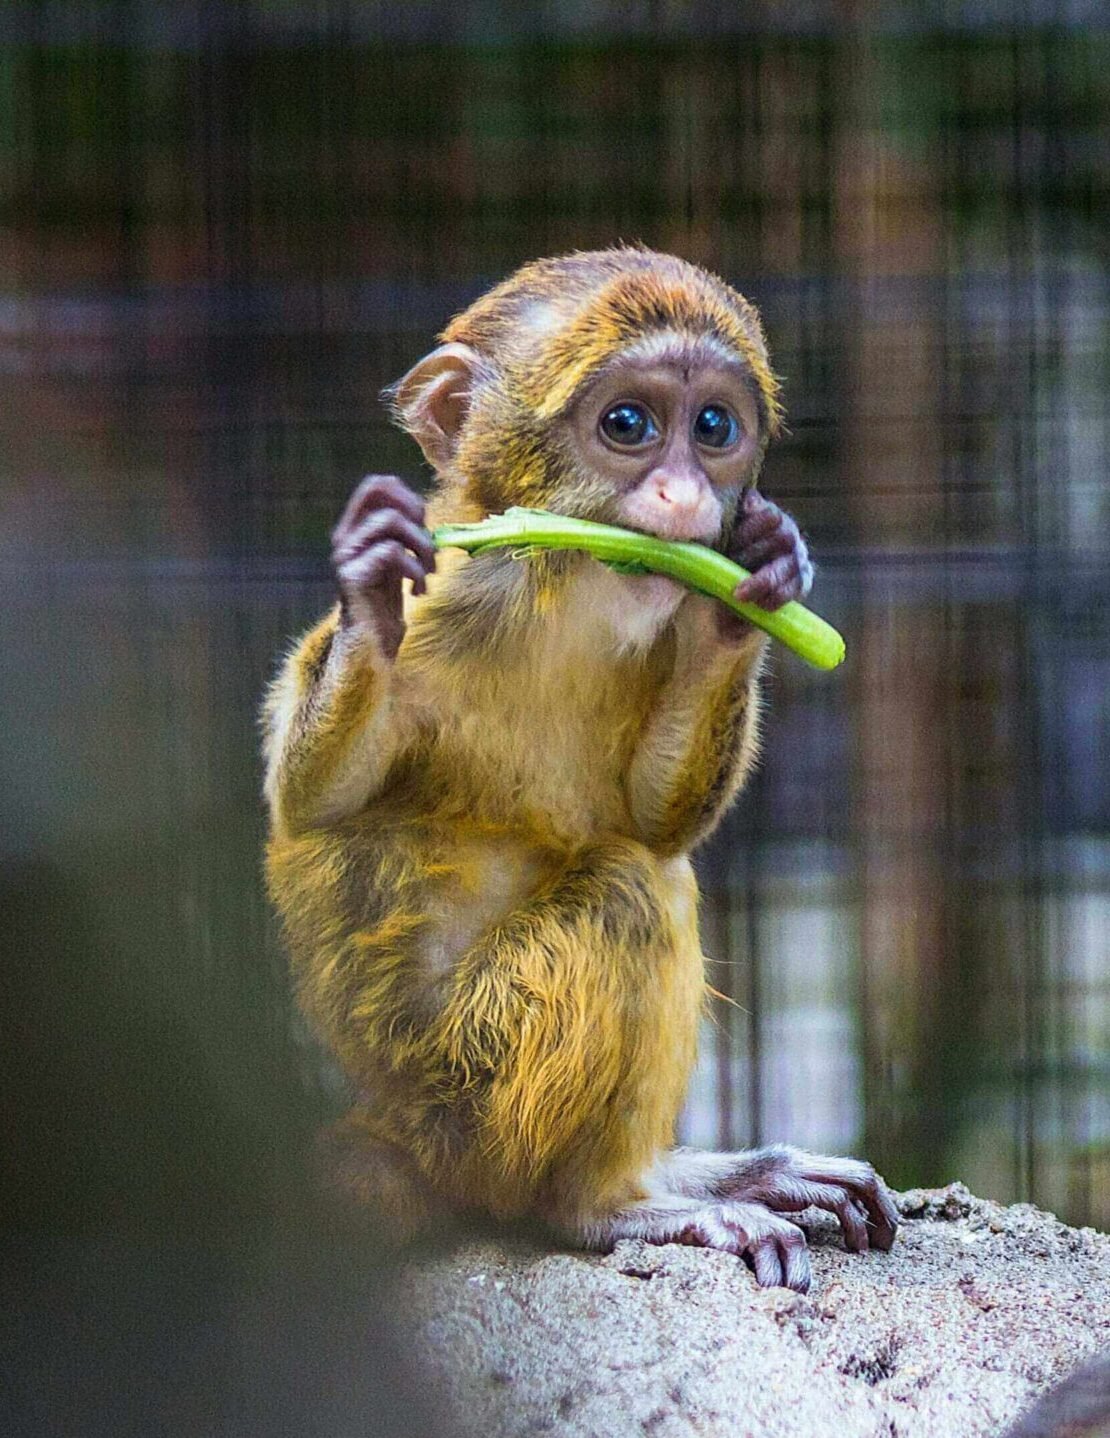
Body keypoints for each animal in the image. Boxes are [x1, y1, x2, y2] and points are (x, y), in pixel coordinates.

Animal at [262, 247, 899, 1294]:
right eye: (628, 426)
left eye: (713, 428)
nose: (686, 498)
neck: (561, 589)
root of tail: (396, 1130)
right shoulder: (452, 597)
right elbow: (315, 802)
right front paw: (368, 592)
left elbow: (654, 819)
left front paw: (750, 591)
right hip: (471, 1089)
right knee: (628, 894)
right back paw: (599, 1206)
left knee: (649, 868)